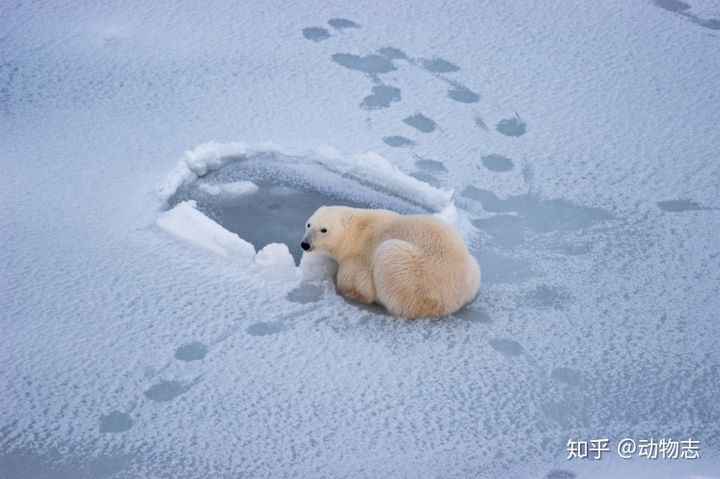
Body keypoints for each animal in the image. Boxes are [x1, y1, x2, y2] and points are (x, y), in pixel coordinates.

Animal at [300, 206, 480, 318]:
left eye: (324, 229)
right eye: (308, 224)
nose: (305, 244)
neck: (357, 230)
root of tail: (453, 299)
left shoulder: (361, 255)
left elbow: (359, 286)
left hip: (414, 275)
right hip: (473, 268)